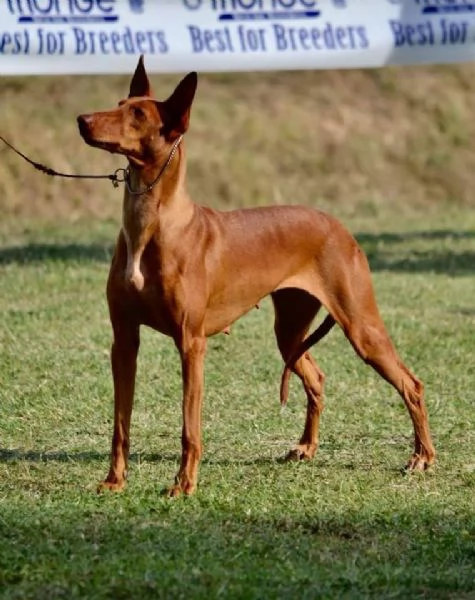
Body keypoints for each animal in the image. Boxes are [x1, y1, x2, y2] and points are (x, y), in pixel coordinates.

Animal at [77, 56, 436, 496]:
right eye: (120, 103)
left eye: (138, 115)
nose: (82, 120)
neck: (150, 224)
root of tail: (341, 228)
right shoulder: (124, 340)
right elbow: (120, 422)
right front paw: (114, 480)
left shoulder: (191, 344)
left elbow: (189, 427)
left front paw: (184, 485)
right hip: (290, 332)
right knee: (317, 378)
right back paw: (306, 447)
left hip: (361, 326)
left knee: (411, 383)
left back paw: (422, 456)